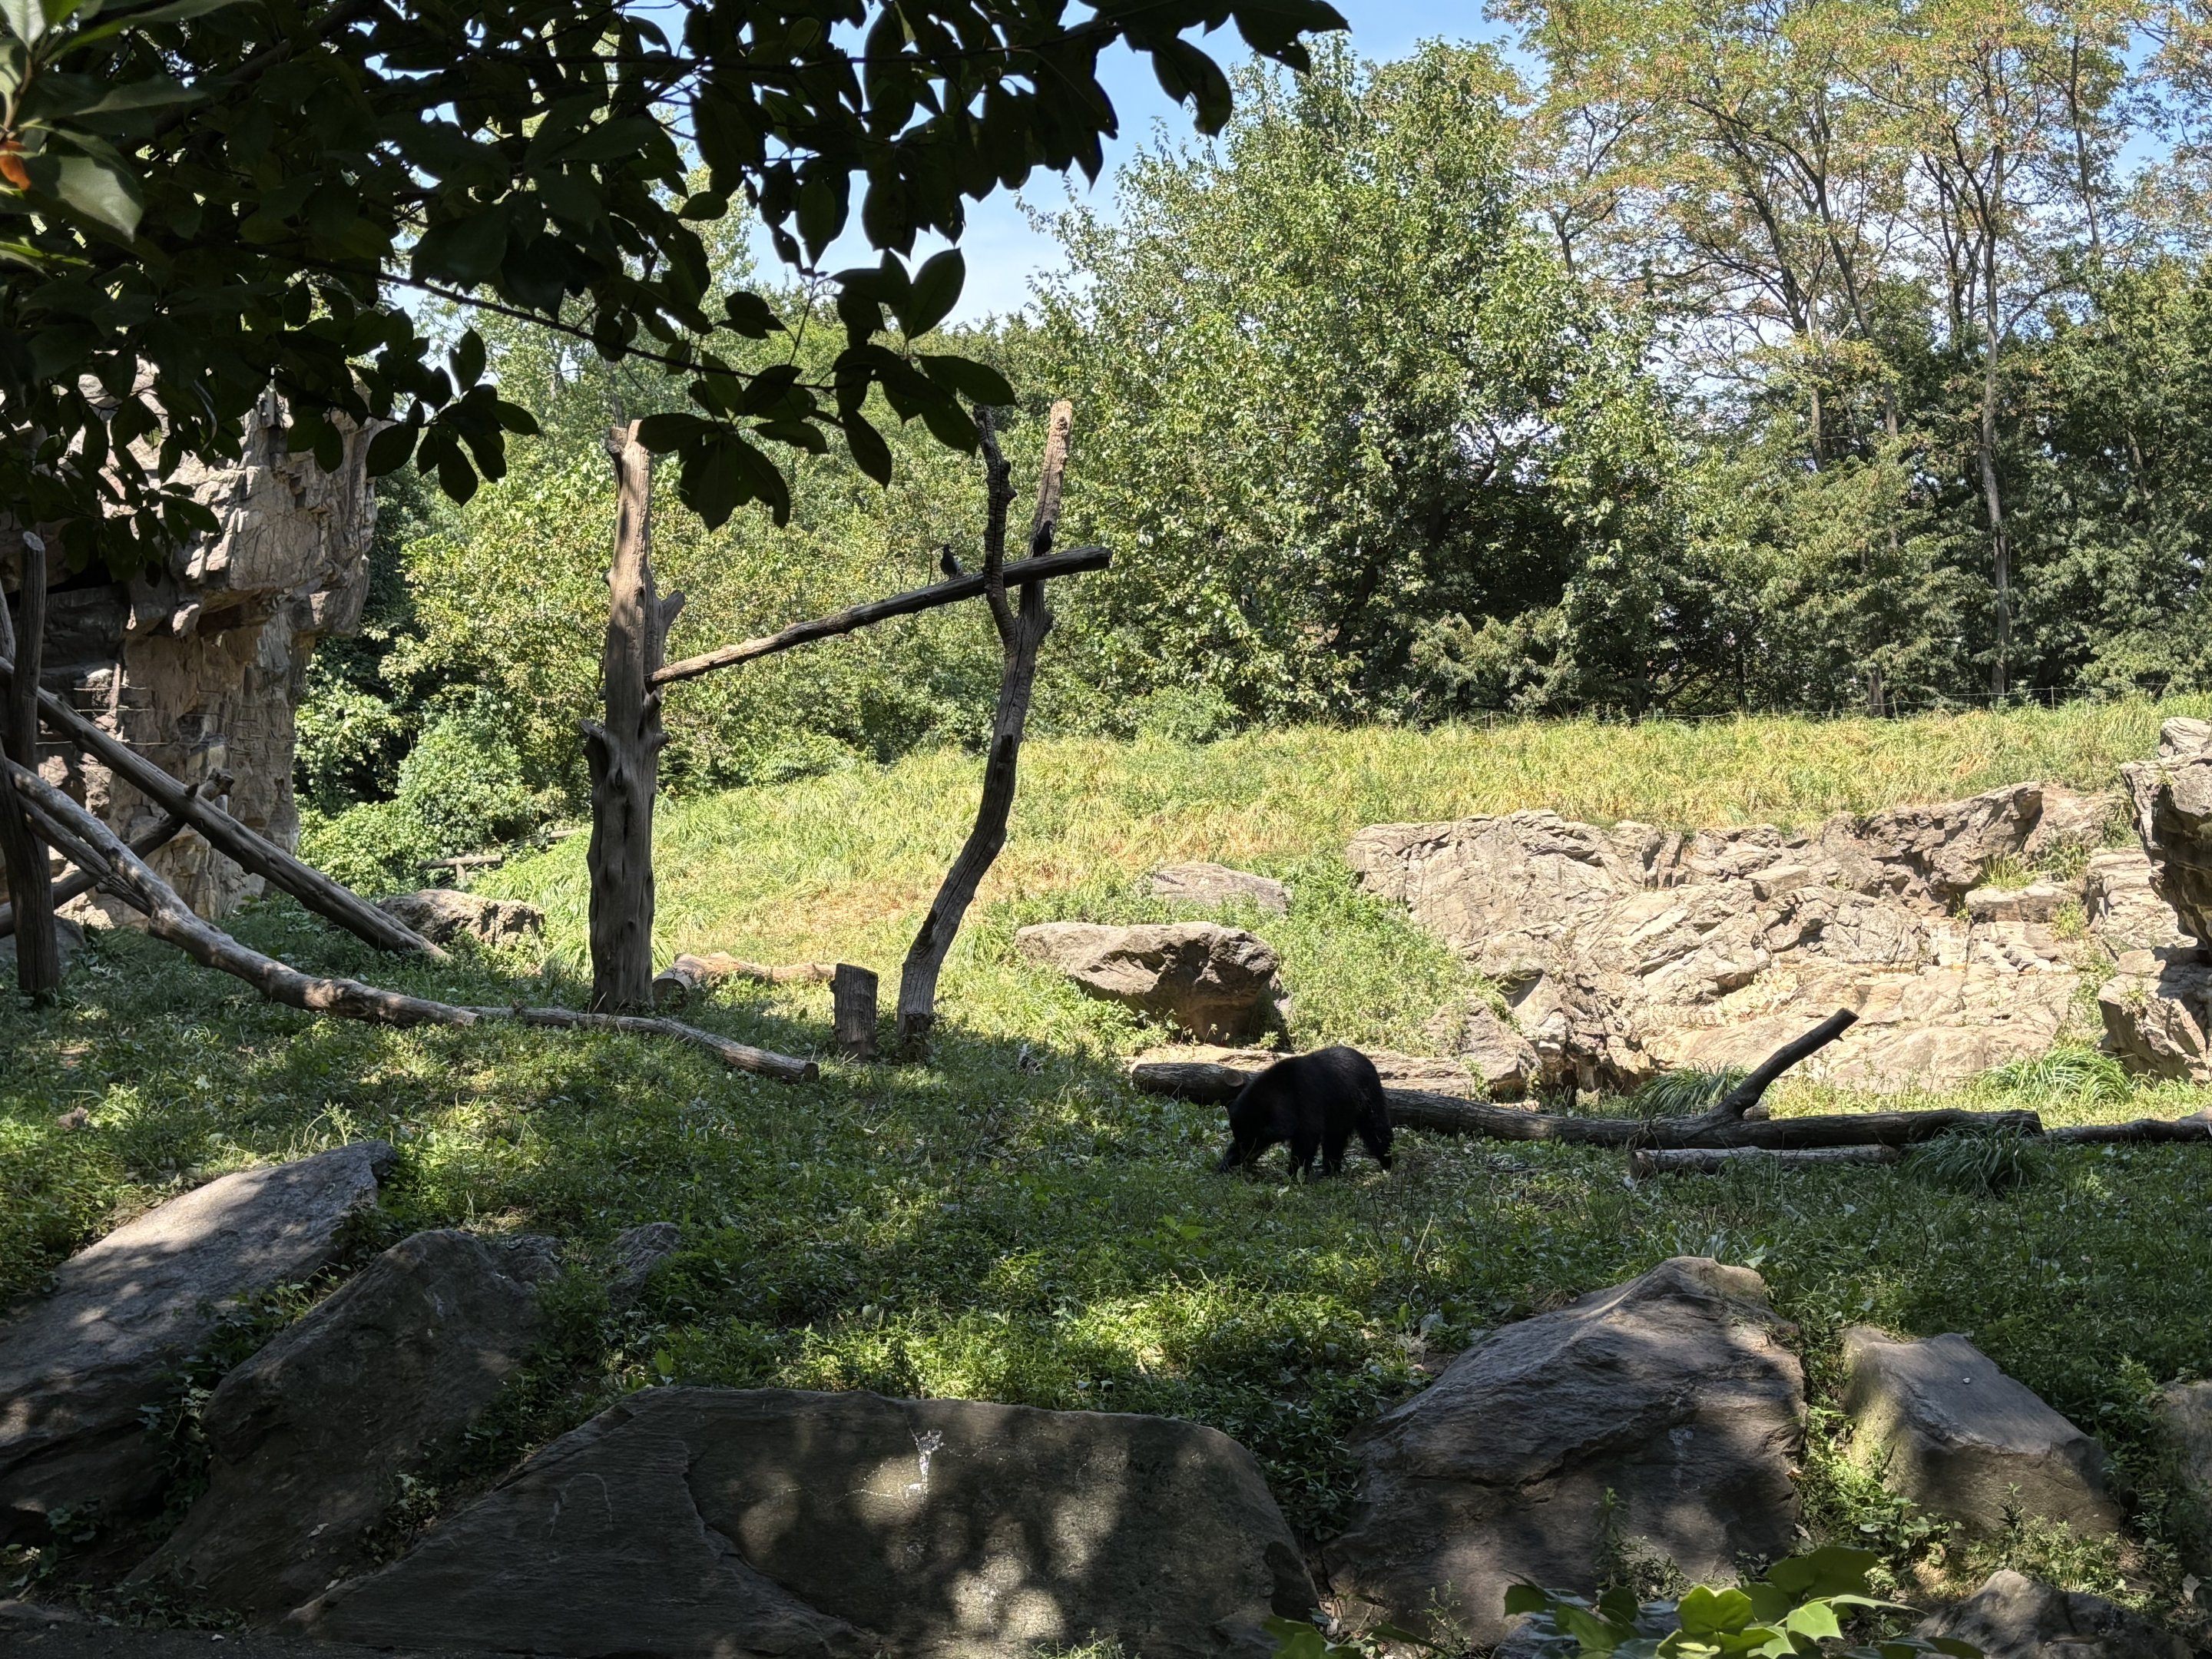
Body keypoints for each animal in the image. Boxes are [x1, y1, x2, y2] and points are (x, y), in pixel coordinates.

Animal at [1215, 1046, 1393, 1178]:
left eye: (1251, 1141)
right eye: (1240, 1139)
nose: (1243, 1158)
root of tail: (1368, 1061)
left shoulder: (1307, 1100)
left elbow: (1307, 1137)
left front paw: (1294, 1174)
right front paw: (1225, 1162)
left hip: (1367, 1099)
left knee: (1376, 1130)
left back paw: (1387, 1162)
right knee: (1335, 1139)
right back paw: (1330, 1170)